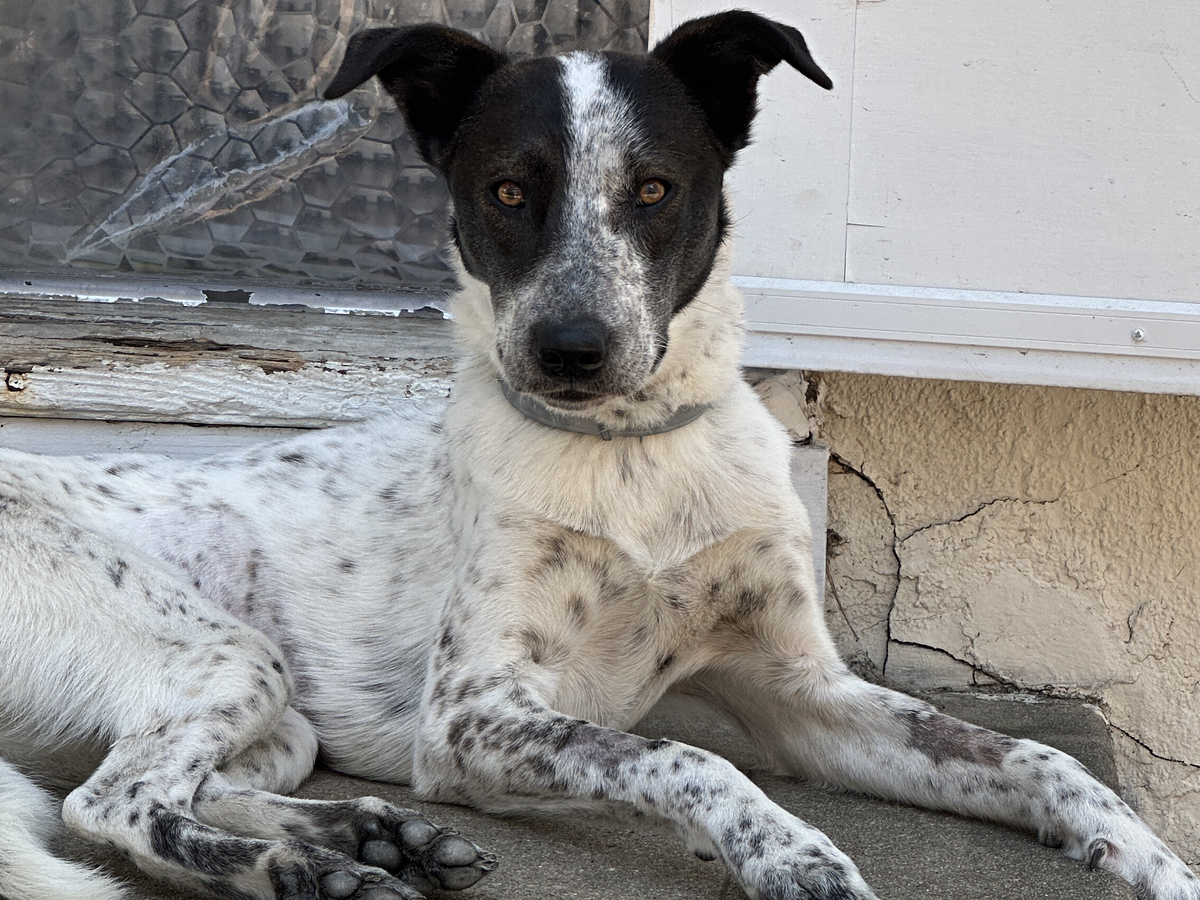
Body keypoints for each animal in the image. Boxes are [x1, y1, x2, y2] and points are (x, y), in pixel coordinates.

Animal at [1, 11, 1197, 900]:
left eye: (656, 189)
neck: (632, 454)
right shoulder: (472, 721)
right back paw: (296, 868)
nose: (570, 348)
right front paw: (789, 853)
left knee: (165, 780)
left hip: (278, 715)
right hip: (225, 653)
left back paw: (366, 837)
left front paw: (1149, 855)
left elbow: (1040, 755)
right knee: (110, 802)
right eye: (507, 192)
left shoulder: (800, 694)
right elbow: (686, 755)